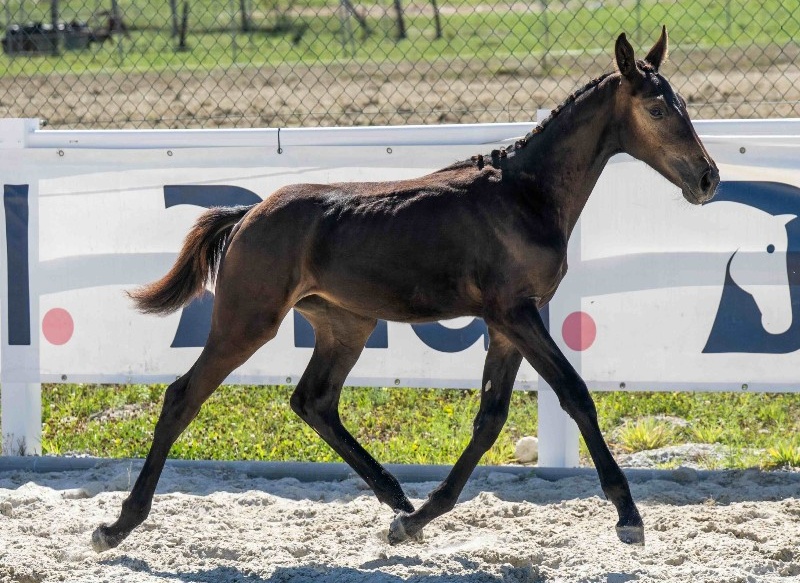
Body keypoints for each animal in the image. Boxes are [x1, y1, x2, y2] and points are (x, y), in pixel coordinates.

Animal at [91, 27, 719, 552]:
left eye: (684, 105)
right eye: (657, 107)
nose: (708, 178)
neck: (524, 195)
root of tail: (247, 214)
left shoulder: (507, 325)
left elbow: (490, 418)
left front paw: (417, 520)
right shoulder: (515, 314)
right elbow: (575, 394)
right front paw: (629, 516)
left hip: (346, 324)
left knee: (313, 400)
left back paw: (395, 499)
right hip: (247, 320)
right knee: (183, 396)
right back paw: (117, 526)